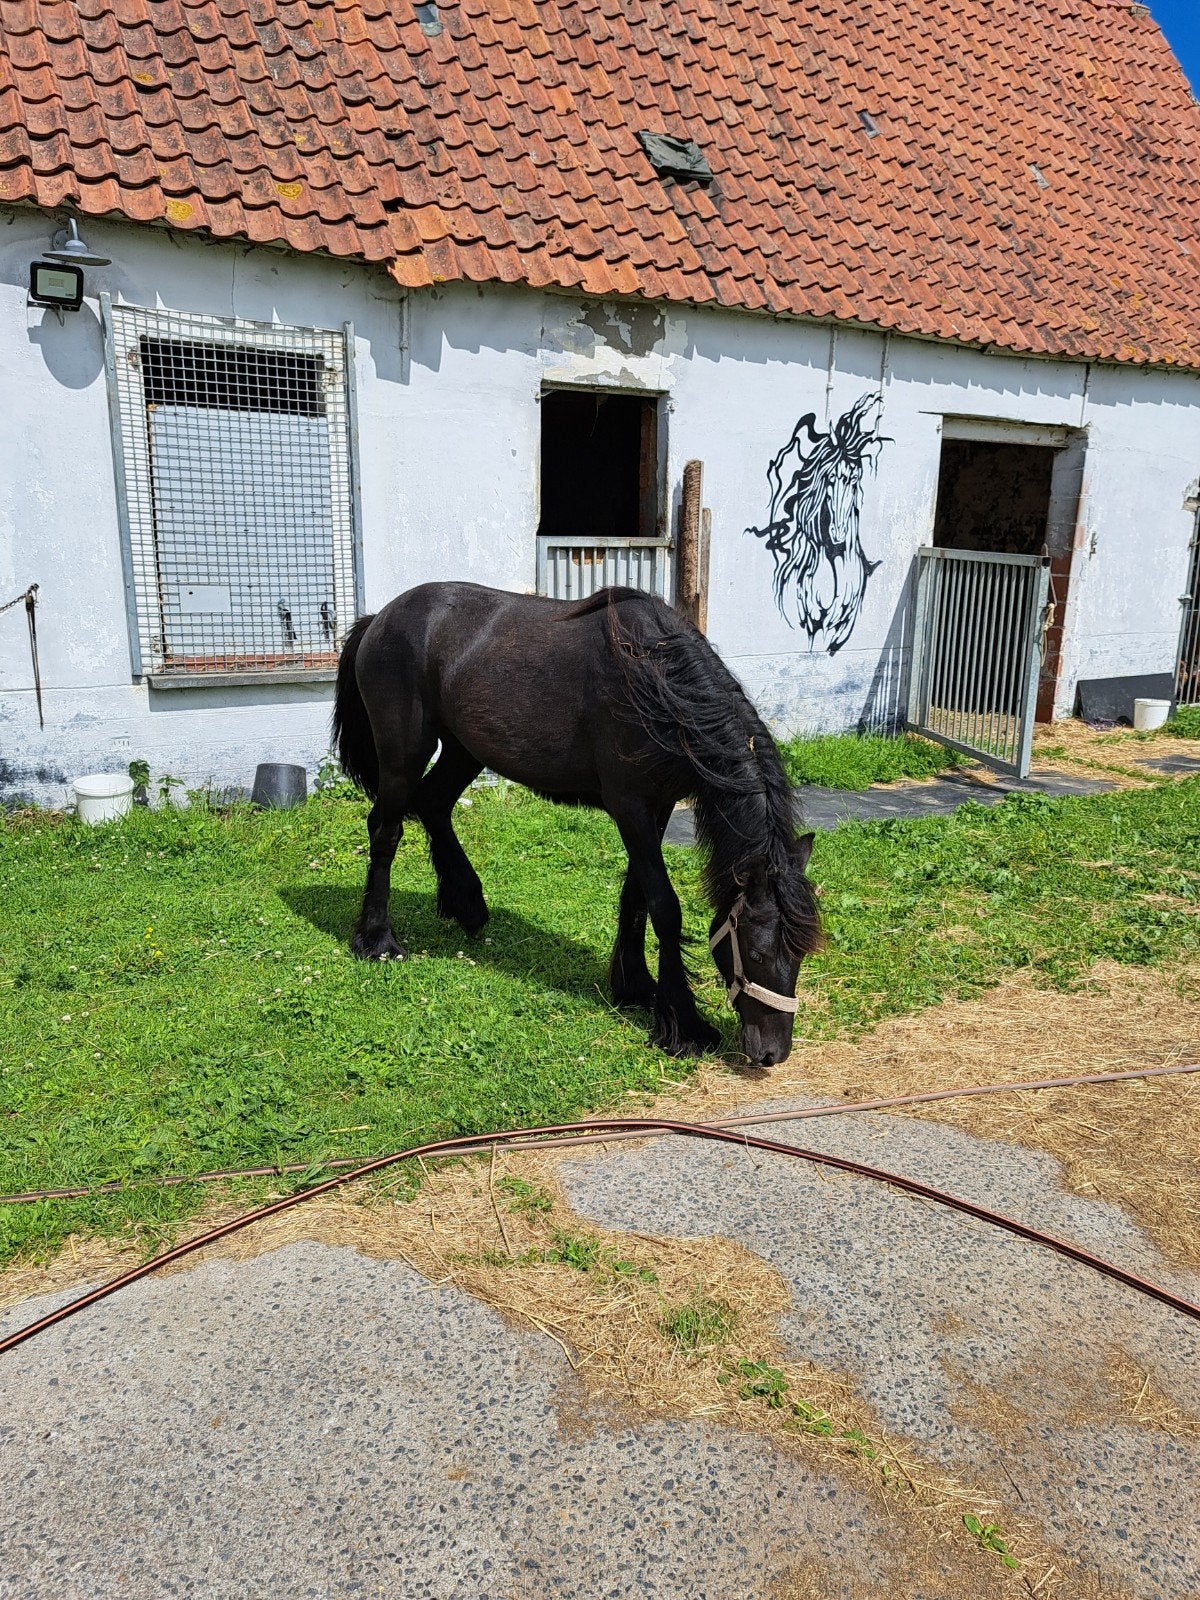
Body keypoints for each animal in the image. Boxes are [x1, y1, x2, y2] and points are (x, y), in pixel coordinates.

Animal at [331, 583, 821, 1066]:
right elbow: (664, 905)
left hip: (463, 749)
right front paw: (683, 1023)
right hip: (404, 751)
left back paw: (467, 903)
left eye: (801, 953)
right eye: (756, 952)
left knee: (433, 805)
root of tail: (378, 618)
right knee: (386, 831)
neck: (659, 682)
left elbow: (636, 894)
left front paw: (634, 985)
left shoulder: (657, 807)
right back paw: (377, 940)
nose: (772, 1053)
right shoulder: (630, 807)